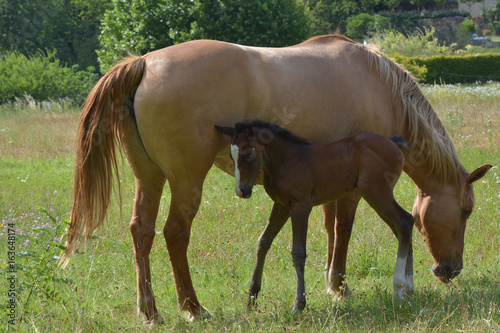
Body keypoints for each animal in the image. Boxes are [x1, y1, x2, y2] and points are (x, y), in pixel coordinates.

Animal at [217, 120, 416, 312]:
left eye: (247, 154)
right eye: (231, 156)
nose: (242, 191)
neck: (287, 160)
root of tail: (392, 141)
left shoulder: (300, 207)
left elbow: (298, 253)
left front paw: (299, 303)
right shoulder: (281, 206)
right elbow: (263, 242)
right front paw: (251, 299)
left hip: (376, 192)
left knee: (404, 222)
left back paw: (398, 290)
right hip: (377, 195)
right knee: (404, 225)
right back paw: (406, 289)